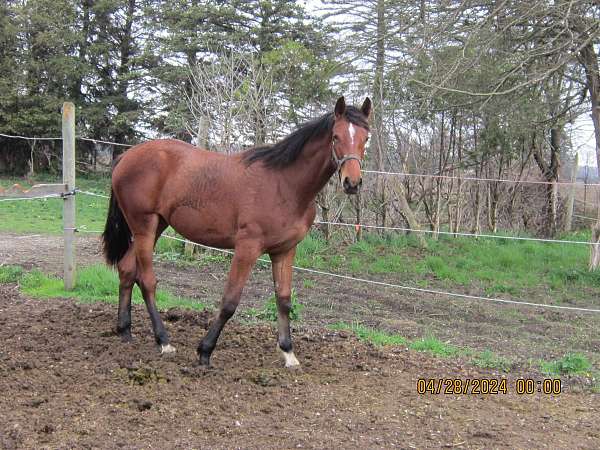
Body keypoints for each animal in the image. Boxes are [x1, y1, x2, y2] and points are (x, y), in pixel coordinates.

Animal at [103, 96, 370, 368]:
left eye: (366, 138)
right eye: (336, 136)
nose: (352, 183)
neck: (285, 185)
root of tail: (126, 156)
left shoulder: (284, 250)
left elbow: (284, 300)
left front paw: (288, 352)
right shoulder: (247, 248)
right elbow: (230, 301)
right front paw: (205, 351)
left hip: (157, 225)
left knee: (127, 269)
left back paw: (125, 330)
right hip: (144, 226)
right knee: (147, 280)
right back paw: (163, 340)